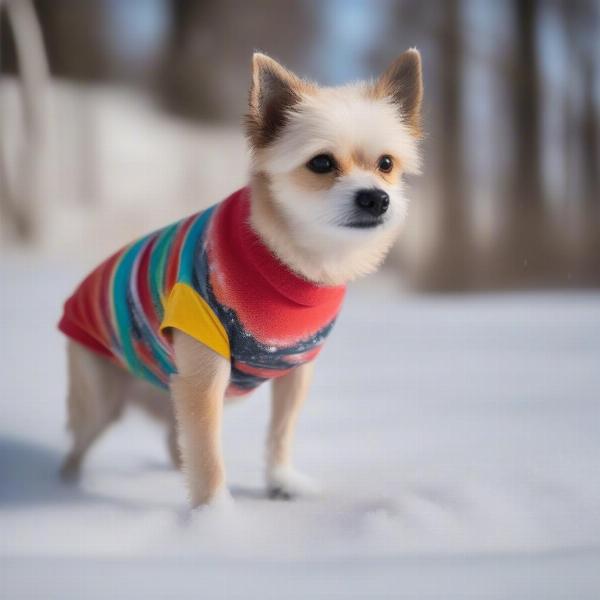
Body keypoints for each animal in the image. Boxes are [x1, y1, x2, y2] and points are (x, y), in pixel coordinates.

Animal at [56, 49, 422, 506]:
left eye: (386, 164)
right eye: (321, 163)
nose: (377, 198)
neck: (288, 259)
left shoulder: (295, 369)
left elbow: (280, 433)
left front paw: (281, 482)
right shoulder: (203, 374)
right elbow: (209, 457)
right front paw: (216, 516)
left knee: (173, 440)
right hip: (101, 399)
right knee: (80, 447)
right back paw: (65, 488)